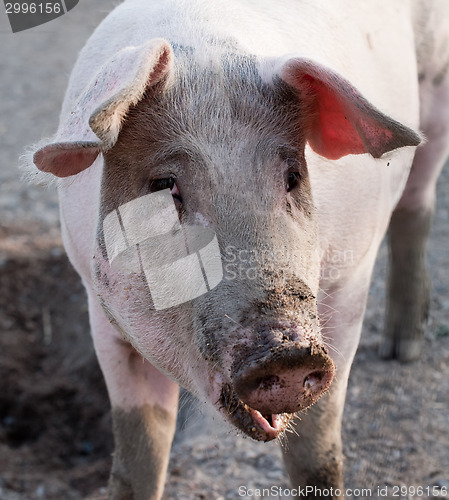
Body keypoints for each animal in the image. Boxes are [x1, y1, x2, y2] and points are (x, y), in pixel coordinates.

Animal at [25, 0, 448, 498]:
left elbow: (316, 447)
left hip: (436, 88)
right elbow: (141, 450)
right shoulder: (99, 305)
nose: (287, 352)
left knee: (417, 204)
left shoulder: (349, 282)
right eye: (164, 186)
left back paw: (403, 350)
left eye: (293, 178)